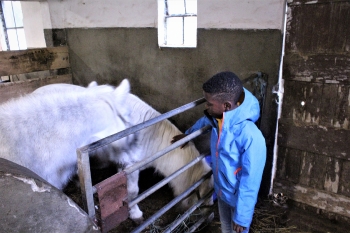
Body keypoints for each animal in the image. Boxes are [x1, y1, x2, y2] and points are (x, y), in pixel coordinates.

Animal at [34, 81, 213, 222]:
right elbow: (133, 193)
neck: (148, 133)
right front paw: (135, 214)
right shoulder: (128, 166)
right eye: (199, 194)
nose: (208, 216)